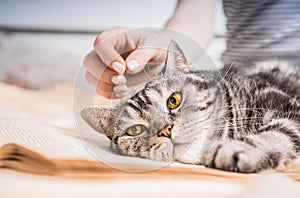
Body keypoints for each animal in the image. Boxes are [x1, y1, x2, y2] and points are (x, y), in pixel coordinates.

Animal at [81, 40, 298, 173]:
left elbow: (277, 132)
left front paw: (236, 149)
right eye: (135, 130)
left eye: (173, 100)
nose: (166, 130)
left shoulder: (285, 104)